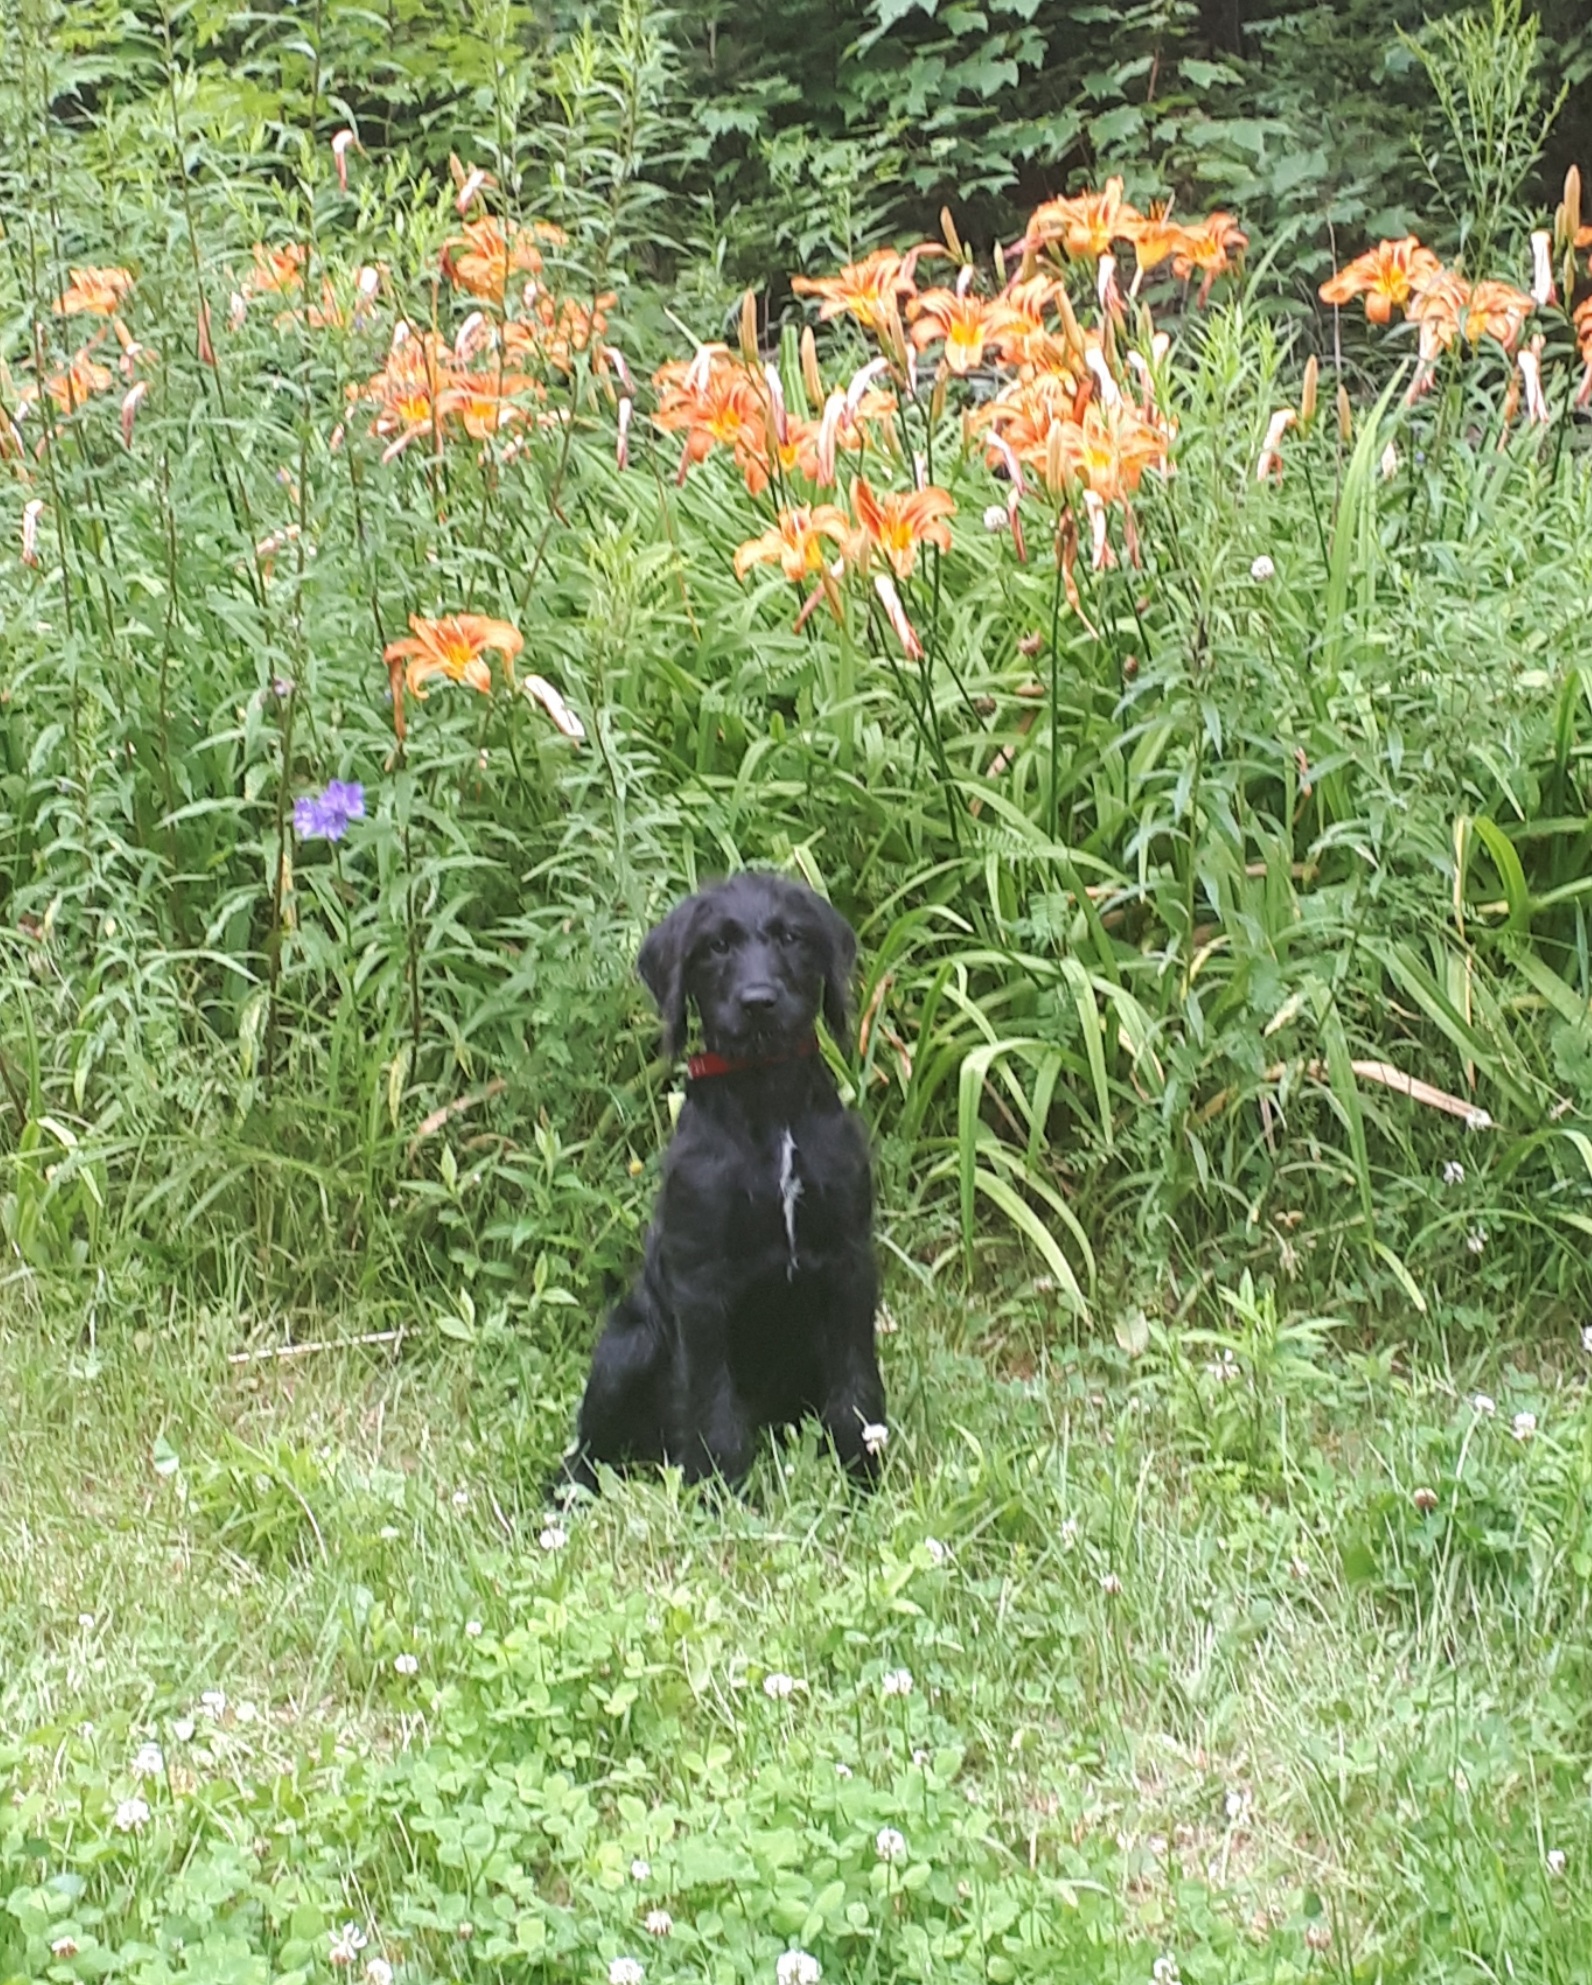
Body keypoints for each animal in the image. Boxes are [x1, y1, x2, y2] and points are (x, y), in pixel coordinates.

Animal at [561, 872, 886, 1492]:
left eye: (791, 937)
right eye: (715, 947)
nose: (757, 1001)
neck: (768, 1099)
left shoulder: (850, 1262)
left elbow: (856, 1385)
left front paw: (864, 1472)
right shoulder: (699, 1285)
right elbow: (712, 1401)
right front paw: (722, 1488)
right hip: (628, 1346)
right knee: (588, 1445)